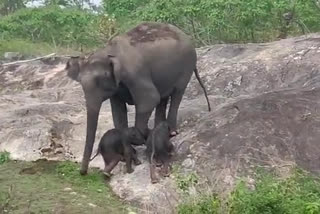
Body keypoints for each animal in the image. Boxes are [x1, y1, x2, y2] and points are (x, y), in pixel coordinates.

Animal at [64, 21, 210, 176]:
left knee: (176, 93)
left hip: (187, 66)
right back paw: (160, 127)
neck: (109, 51)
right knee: (163, 98)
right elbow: (118, 112)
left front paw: (144, 137)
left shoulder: (136, 74)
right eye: (80, 83)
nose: (83, 172)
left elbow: (150, 99)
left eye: (100, 81)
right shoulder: (117, 87)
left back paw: (171, 132)